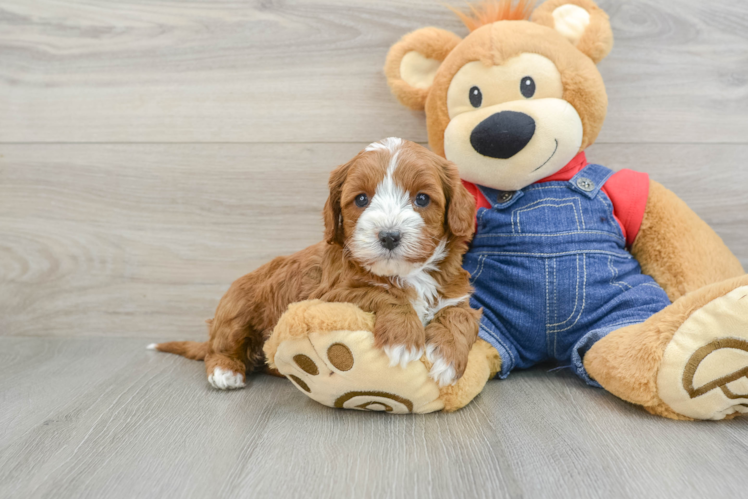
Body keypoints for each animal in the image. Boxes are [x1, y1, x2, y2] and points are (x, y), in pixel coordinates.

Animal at [151, 139, 480, 388]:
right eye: (361, 200)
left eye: (422, 199)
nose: (389, 236)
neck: (407, 274)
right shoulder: (331, 293)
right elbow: (383, 292)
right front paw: (403, 339)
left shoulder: (455, 295)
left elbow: (460, 317)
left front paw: (446, 358)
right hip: (236, 309)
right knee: (219, 346)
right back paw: (225, 371)